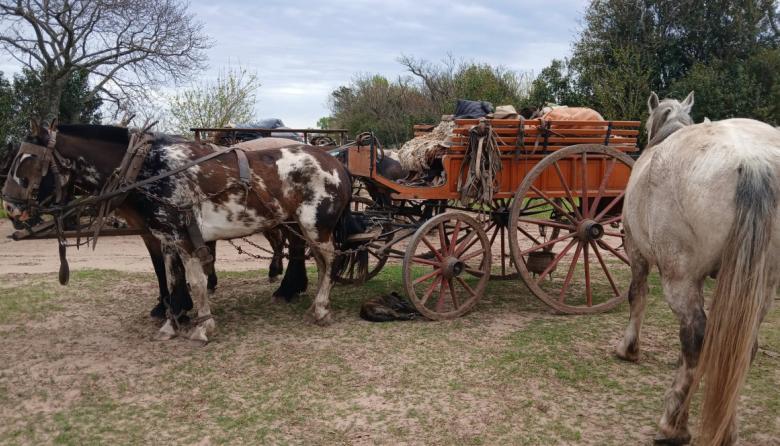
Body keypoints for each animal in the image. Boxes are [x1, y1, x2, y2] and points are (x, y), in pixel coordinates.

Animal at [3, 122, 354, 343]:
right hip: (304, 226)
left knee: (330, 261)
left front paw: (202, 326)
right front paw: (171, 325)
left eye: (27, 161)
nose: (10, 207)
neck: (149, 170)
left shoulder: (183, 238)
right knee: (318, 261)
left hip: (315, 226)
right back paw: (309, 299)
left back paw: (320, 308)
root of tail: (335, 163)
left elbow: (195, 282)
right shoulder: (165, 238)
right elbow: (172, 282)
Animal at [616, 92, 780, 445]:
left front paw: (629, 348)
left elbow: (637, 296)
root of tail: (753, 160)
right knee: (740, 349)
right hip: (761, 283)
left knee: (695, 337)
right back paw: (725, 428)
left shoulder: (635, 250)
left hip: (680, 277)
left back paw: (673, 425)